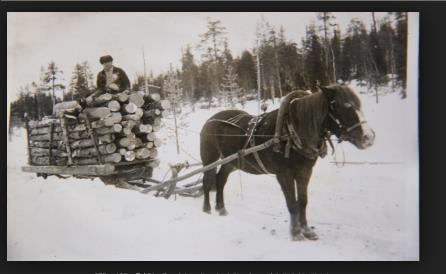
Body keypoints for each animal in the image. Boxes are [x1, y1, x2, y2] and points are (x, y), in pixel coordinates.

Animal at [200, 83, 374, 240]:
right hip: (210, 158)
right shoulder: (284, 174)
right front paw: (296, 233)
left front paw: (306, 230)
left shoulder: (305, 172)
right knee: (207, 181)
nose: (369, 137)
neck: (291, 132)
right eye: (345, 106)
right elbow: (291, 203)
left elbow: (302, 201)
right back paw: (206, 209)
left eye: (358, 104)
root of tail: (210, 120)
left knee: (220, 180)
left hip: (232, 162)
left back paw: (221, 208)